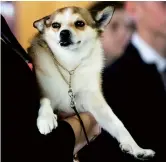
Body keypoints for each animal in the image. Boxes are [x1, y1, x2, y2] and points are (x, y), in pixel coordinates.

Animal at [27, 6, 155, 159]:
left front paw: (136, 148)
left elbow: (117, 123)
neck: (70, 65)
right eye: (55, 25)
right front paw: (45, 118)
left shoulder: (95, 101)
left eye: (79, 23)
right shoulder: (44, 87)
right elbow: (45, 98)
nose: (64, 32)